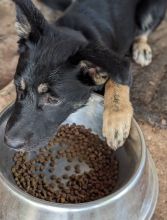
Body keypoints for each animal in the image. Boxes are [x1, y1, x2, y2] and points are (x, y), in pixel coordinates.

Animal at [4, 0, 166, 151]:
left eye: (53, 100)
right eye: (18, 87)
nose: (10, 144)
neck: (79, 30)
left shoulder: (120, 61)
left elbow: (117, 79)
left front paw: (116, 121)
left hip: (152, 9)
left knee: (142, 32)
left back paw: (142, 48)